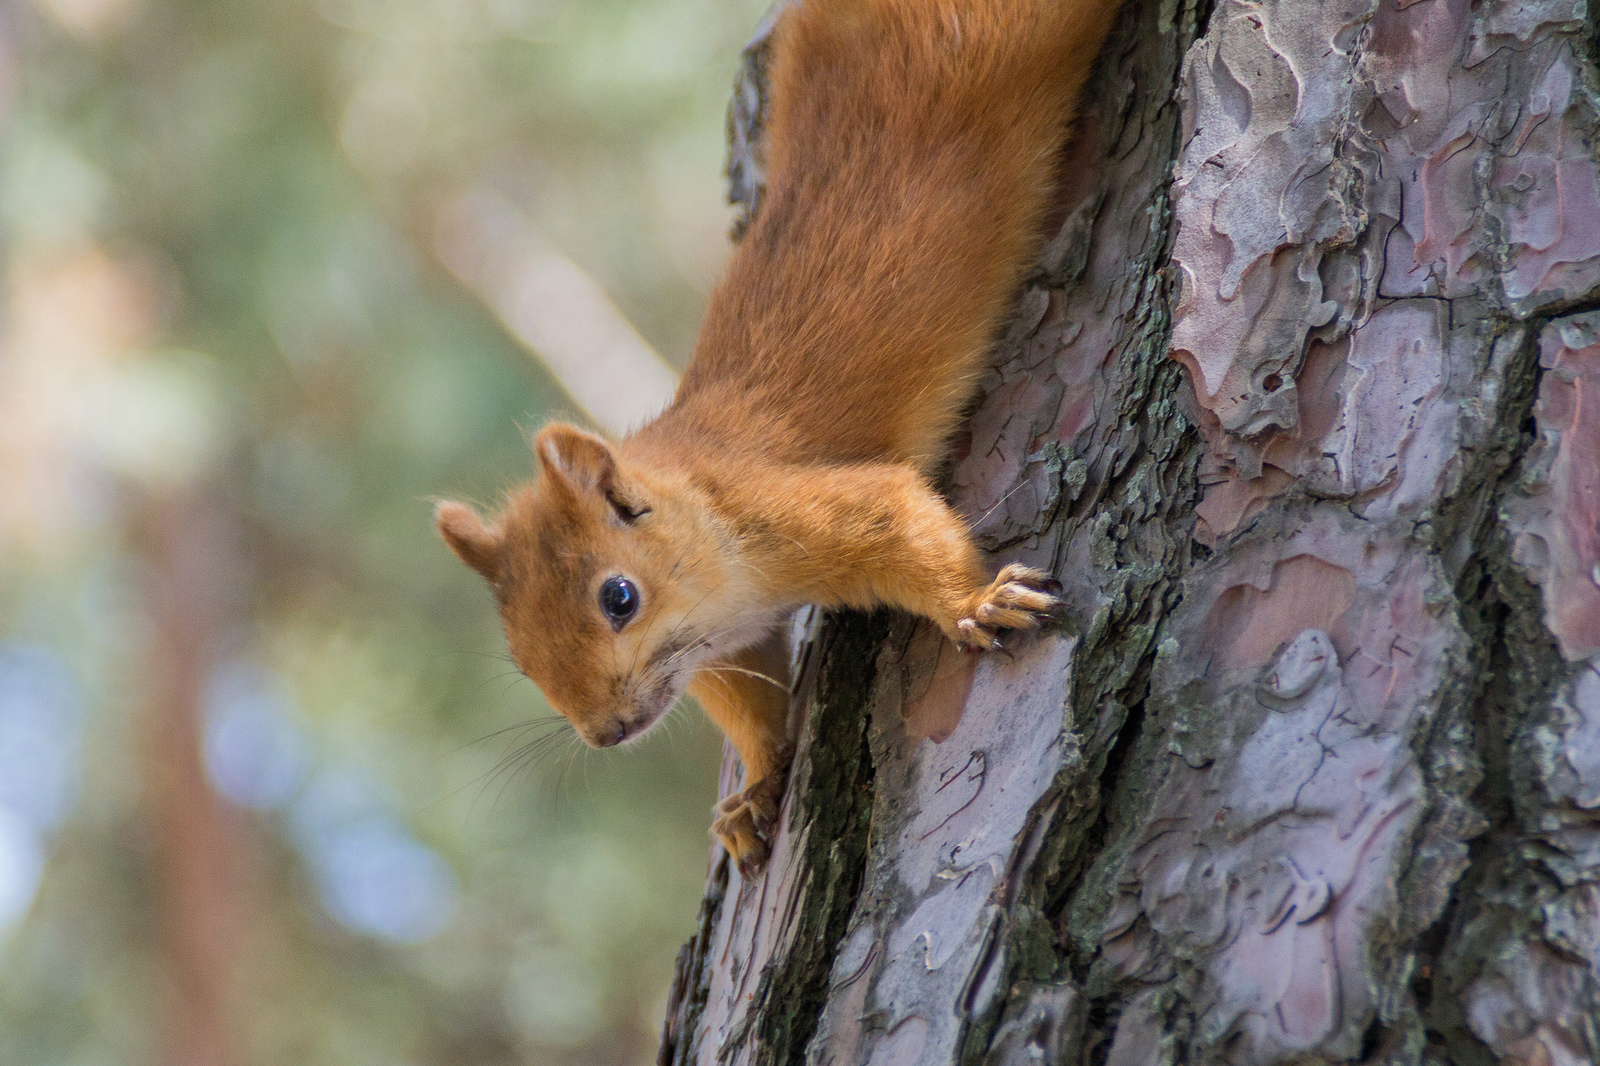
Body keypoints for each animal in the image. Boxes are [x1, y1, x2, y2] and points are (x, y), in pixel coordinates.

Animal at [432, 0, 1120, 870]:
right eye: (520, 659)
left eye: (619, 598)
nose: (607, 733)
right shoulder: (726, 644)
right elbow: (754, 701)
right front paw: (754, 793)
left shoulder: (795, 506)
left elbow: (902, 518)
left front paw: (976, 601)